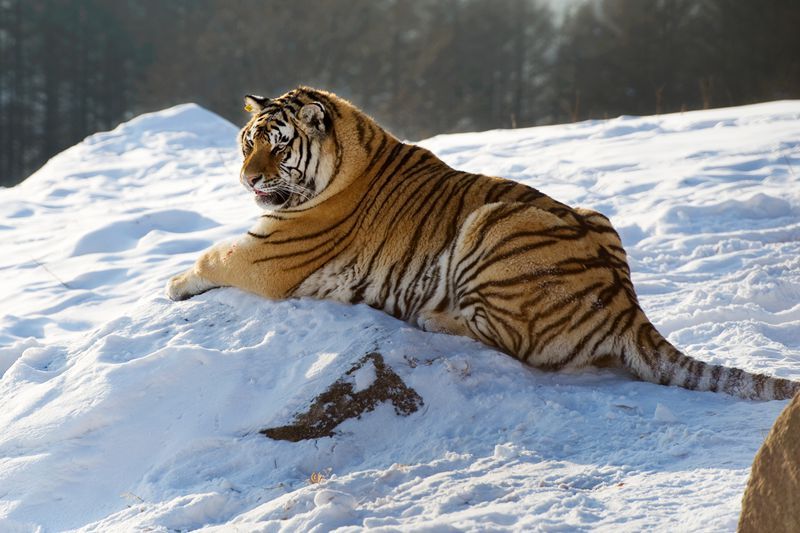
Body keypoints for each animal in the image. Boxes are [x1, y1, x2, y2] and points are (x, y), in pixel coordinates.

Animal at [166, 86, 796, 400]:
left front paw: (171, 283)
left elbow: (210, 254)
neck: (345, 159)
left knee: (508, 341)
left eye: (275, 144)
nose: (247, 179)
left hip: (494, 224)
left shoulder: (266, 255)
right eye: (246, 142)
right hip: (596, 215)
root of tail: (625, 304)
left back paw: (431, 317)